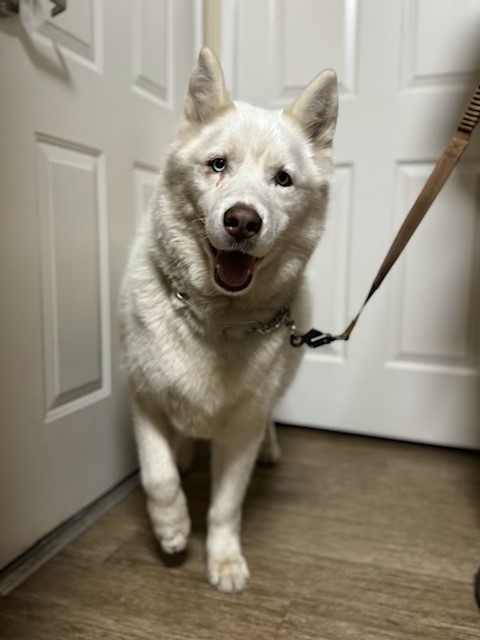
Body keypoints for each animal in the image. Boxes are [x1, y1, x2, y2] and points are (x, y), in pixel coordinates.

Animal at [120, 47, 338, 592]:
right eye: (217, 165)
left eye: (283, 179)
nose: (242, 221)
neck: (213, 317)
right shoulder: (143, 397)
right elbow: (157, 475)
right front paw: (172, 526)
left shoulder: (241, 428)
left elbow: (225, 506)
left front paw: (222, 560)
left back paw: (270, 448)